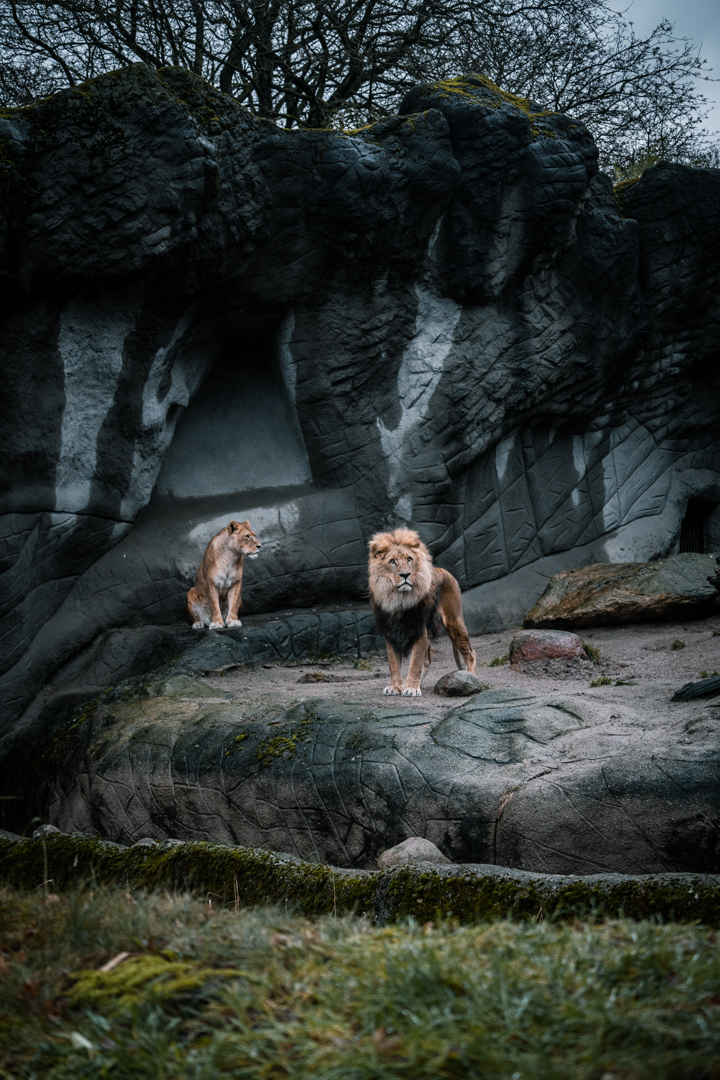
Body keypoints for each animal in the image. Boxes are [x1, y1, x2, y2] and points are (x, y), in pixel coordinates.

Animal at [368, 528, 476, 697]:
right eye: (392, 561)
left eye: (409, 559)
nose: (405, 575)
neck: (399, 600)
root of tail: (443, 570)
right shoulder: (391, 631)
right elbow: (393, 663)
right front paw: (396, 687)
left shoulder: (419, 628)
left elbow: (415, 662)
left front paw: (411, 688)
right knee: (427, 661)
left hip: (454, 622)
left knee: (471, 654)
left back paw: (472, 677)